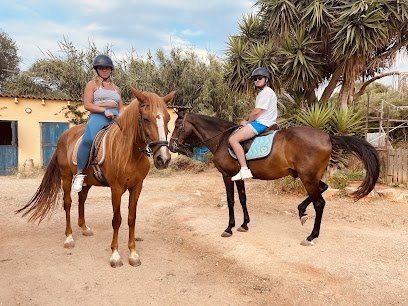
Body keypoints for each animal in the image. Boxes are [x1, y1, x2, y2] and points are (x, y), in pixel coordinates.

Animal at [16, 85, 175, 266]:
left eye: (168, 118)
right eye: (146, 119)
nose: (163, 159)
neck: (130, 152)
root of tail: (63, 137)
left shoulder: (137, 187)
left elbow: (131, 218)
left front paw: (133, 254)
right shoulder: (116, 188)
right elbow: (117, 219)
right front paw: (115, 255)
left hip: (87, 181)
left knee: (82, 199)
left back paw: (84, 228)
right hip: (66, 177)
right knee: (68, 203)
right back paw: (69, 237)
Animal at [168, 112, 380, 246]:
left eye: (177, 125)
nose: (171, 146)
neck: (222, 139)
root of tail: (328, 136)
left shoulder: (227, 176)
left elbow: (230, 201)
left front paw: (229, 228)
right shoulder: (238, 177)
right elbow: (243, 199)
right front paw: (244, 224)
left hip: (307, 178)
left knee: (320, 203)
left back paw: (311, 236)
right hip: (311, 177)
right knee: (324, 188)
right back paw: (302, 211)